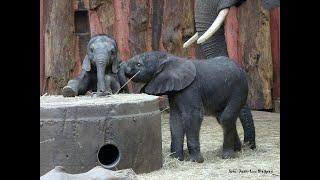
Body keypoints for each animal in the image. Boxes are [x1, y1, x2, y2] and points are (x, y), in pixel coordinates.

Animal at [121, 51, 256, 162]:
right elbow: (175, 119)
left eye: (139, 64)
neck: (169, 58)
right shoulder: (175, 91)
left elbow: (193, 115)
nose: (120, 65)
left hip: (239, 90)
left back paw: (228, 156)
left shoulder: (190, 88)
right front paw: (176, 159)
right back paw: (237, 150)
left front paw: (195, 161)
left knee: (226, 118)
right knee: (222, 118)